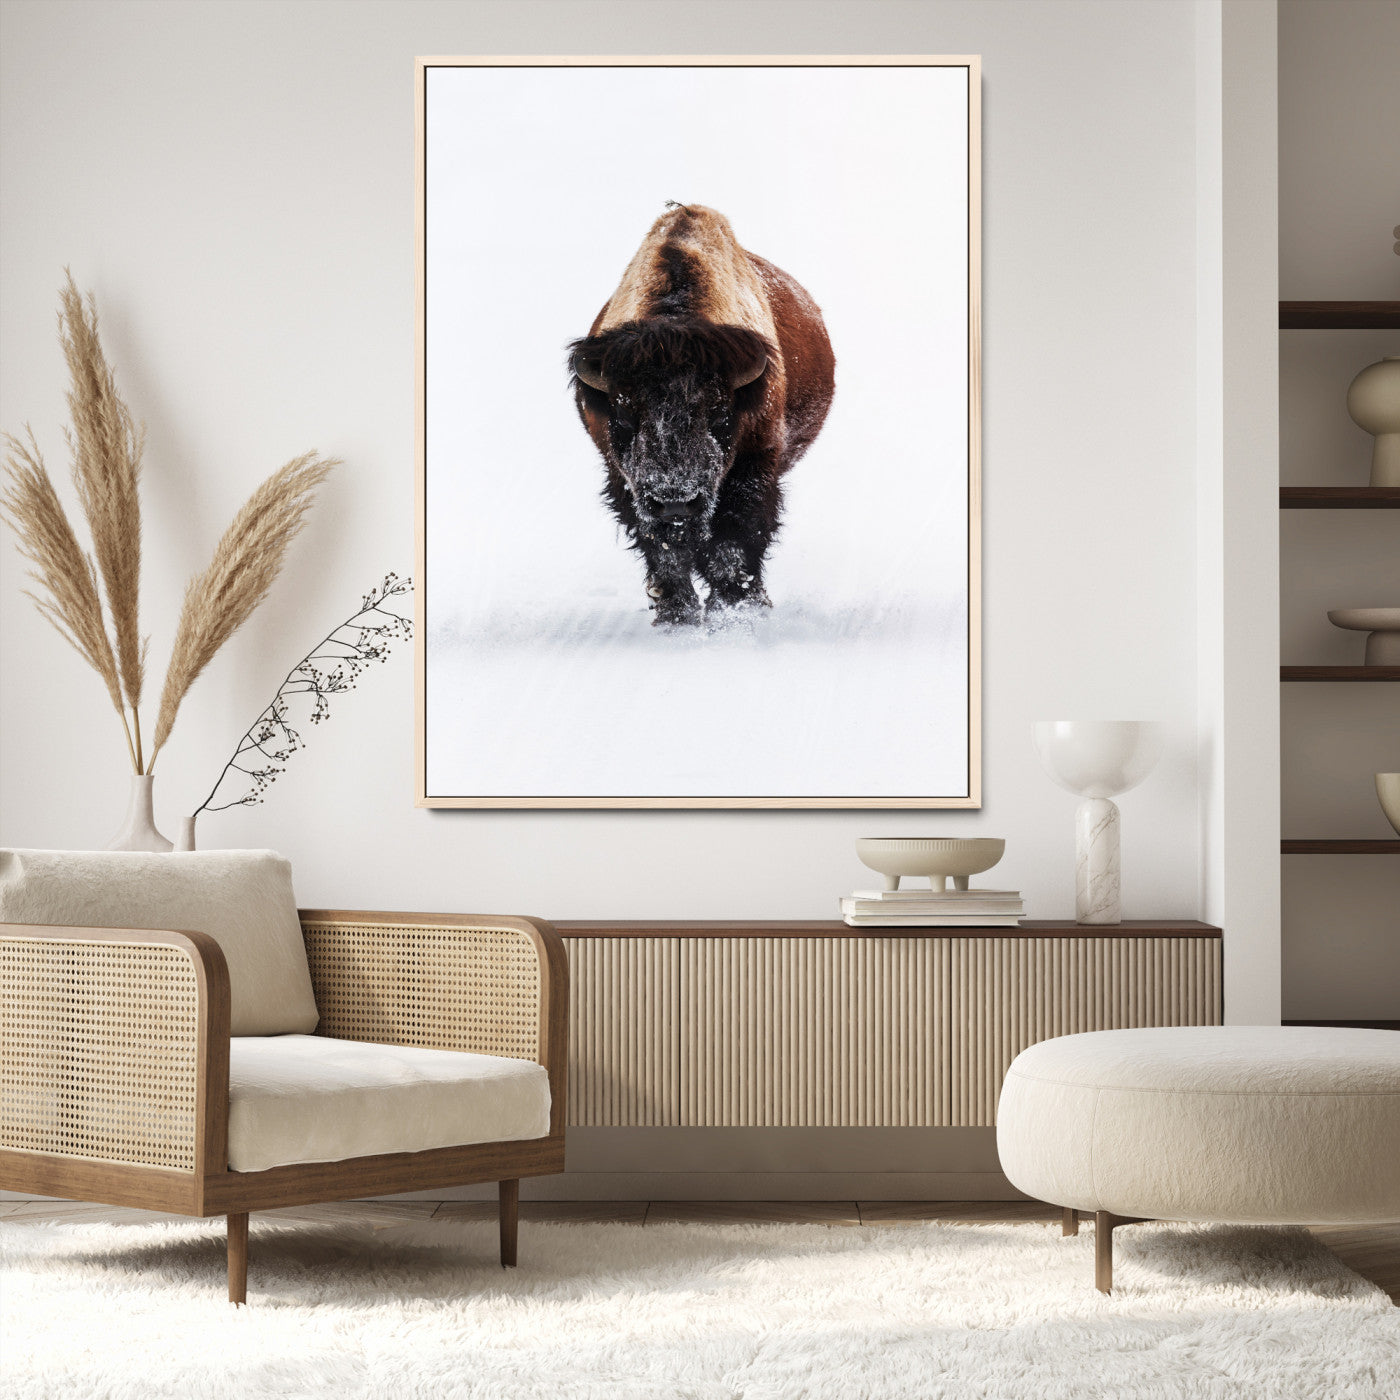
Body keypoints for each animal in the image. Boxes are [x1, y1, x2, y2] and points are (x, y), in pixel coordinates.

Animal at [570, 203, 835, 626]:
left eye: (719, 411)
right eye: (624, 411)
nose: (675, 501)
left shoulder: (753, 468)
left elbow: (734, 542)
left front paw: (735, 609)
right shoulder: (625, 482)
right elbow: (664, 551)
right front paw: (676, 615)